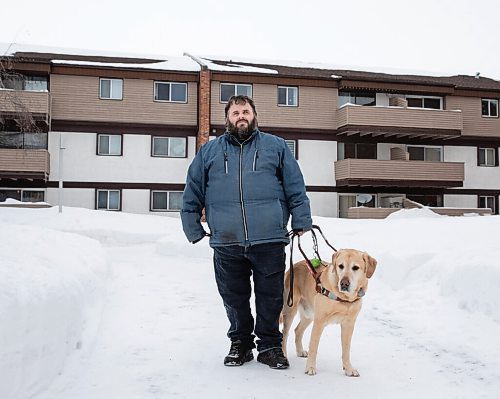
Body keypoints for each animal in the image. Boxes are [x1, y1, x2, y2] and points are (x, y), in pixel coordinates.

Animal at [284, 248, 376, 376]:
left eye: (355, 267)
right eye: (340, 266)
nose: (344, 283)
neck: (344, 298)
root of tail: (294, 265)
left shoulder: (349, 324)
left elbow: (346, 349)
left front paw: (348, 369)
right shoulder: (319, 322)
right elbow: (313, 347)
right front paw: (310, 367)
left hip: (309, 314)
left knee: (297, 330)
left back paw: (300, 351)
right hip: (290, 308)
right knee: (285, 334)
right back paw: (283, 355)